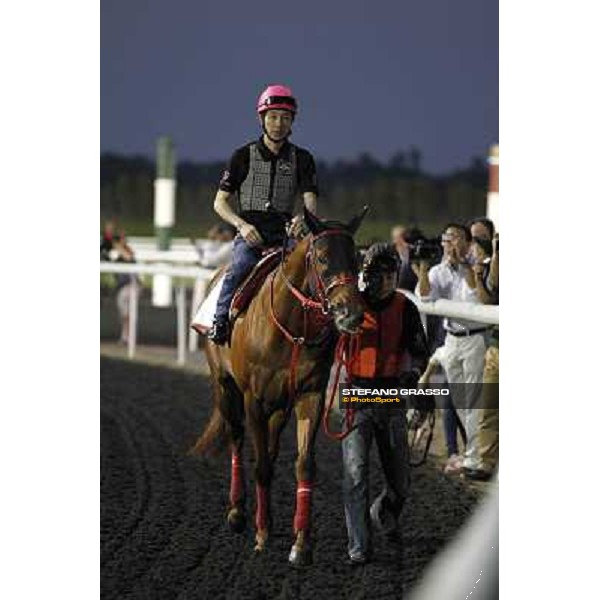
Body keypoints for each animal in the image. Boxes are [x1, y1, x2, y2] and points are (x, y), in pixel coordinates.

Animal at [192, 209, 366, 564]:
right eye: (323, 258)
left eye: (357, 259)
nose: (351, 314)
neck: (292, 326)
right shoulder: (253, 399)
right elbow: (259, 466)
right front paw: (261, 535)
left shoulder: (309, 396)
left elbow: (304, 465)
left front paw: (301, 544)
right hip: (226, 387)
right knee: (237, 439)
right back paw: (237, 513)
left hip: (278, 407)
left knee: (270, 451)